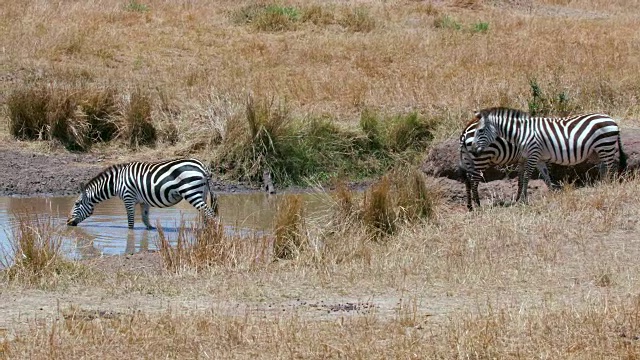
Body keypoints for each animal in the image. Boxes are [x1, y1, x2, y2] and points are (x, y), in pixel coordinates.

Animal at [66, 159, 219, 229]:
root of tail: (203, 166)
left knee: (209, 212)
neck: (116, 182)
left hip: (191, 192)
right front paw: (150, 231)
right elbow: (146, 220)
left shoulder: (128, 197)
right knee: (206, 214)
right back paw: (206, 233)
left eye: (77, 203)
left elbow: (131, 222)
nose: (68, 222)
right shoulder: (143, 201)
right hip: (202, 192)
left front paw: (130, 234)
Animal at [470, 107, 624, 202]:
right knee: (604, 168)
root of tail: (611, 119)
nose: (473, 150)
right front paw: (552, 194)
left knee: (611, 168)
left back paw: (609, 188)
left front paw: (523, 200)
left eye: (481, 130)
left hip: (605, 145)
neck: (522, 133)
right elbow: (545, 176)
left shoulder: (533, 154)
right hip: (598, 150)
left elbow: (526, 177)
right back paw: (603, 187)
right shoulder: (538, 158)